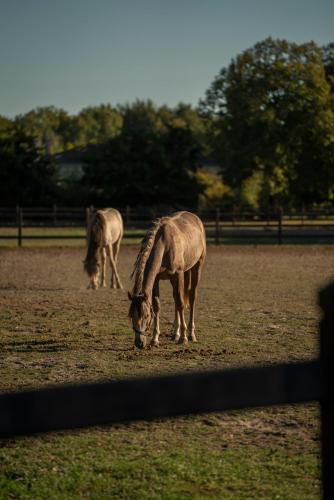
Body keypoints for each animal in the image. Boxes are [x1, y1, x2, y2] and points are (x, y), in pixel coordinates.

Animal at [129, 210, 205, 348]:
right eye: (131, 315)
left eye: (146, 315)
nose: (139, 343)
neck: (164, 243)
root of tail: (195, 218)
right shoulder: (157, 279)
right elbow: (157, 305)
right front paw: (155, 339)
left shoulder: (178, 275)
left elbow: (181, 303)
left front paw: (184, 338)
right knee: (175, 299)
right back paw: (175, 333)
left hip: (197, 267)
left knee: (191, 297)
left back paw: (191, 334)